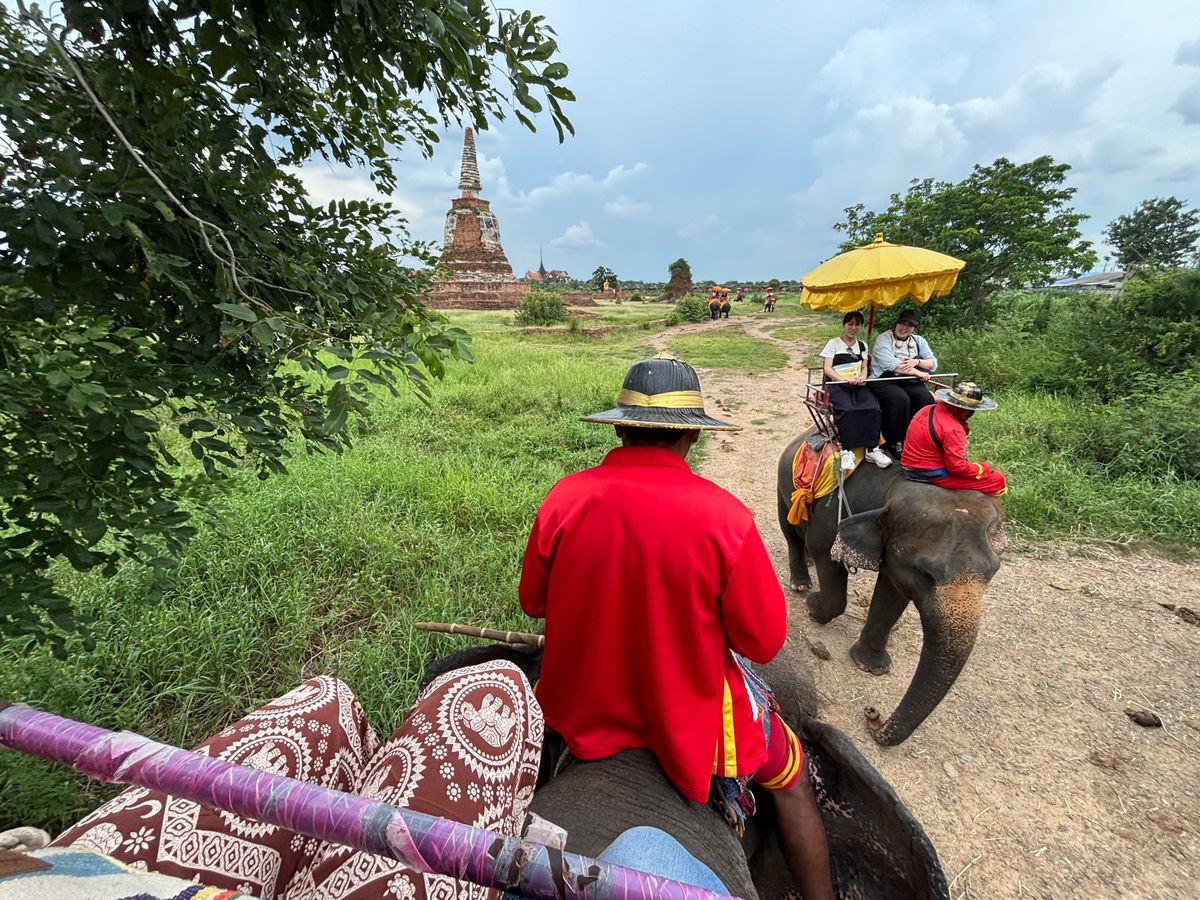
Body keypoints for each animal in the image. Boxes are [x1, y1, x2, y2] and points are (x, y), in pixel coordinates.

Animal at [776, 429, 1006, 747]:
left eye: (993, 571)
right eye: (924, 572)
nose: (873, 717)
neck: (891, 488)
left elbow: (892, 594)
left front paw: (871, 667)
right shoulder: (831, 517)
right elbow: (827, 562)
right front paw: (814, 605)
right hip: (783, 486)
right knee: (791, 532)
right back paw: (800, 583)